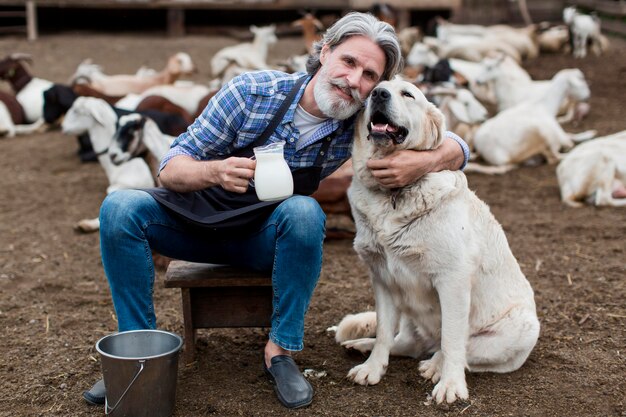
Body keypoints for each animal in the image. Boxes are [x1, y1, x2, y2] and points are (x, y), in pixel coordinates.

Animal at [334, 78, 540, 404]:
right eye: (372, 92)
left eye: (407, 94)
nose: (379, 94)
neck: (393, 194)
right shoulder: (383, 279)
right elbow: (384, 333)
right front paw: (372, 368)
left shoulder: (452, 280)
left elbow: (454, 340)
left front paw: (451, 385)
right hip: (409, 313)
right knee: (407, 343)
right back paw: (364, 345)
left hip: (518, 329)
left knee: (460, 349)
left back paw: (435, 366)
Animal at [464, 69, 596, 173]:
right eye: (582, 82)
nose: (588, 96)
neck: (544, 105)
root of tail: (481, 147)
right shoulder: (555, 134)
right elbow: (569, 140)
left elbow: (571, 136)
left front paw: (589, 134)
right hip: (539, 134)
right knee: (554, 157)